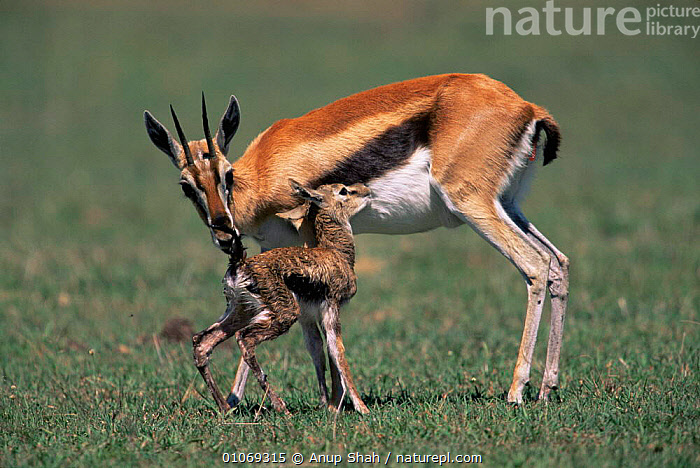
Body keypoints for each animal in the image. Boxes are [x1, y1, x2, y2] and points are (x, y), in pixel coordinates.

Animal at [192, 180, 371, 414]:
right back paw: (281, 407)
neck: (337, 253)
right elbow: (337, 351)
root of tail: (240, 264)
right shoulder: (331, 307)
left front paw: (326, 404)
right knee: (245, 339)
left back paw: (224, 406)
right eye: (343, 190)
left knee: (202, 342)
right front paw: (361, 408)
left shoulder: (312, 316)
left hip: (240, 311)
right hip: (283, 315)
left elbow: (319, 351)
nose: (367, 191)